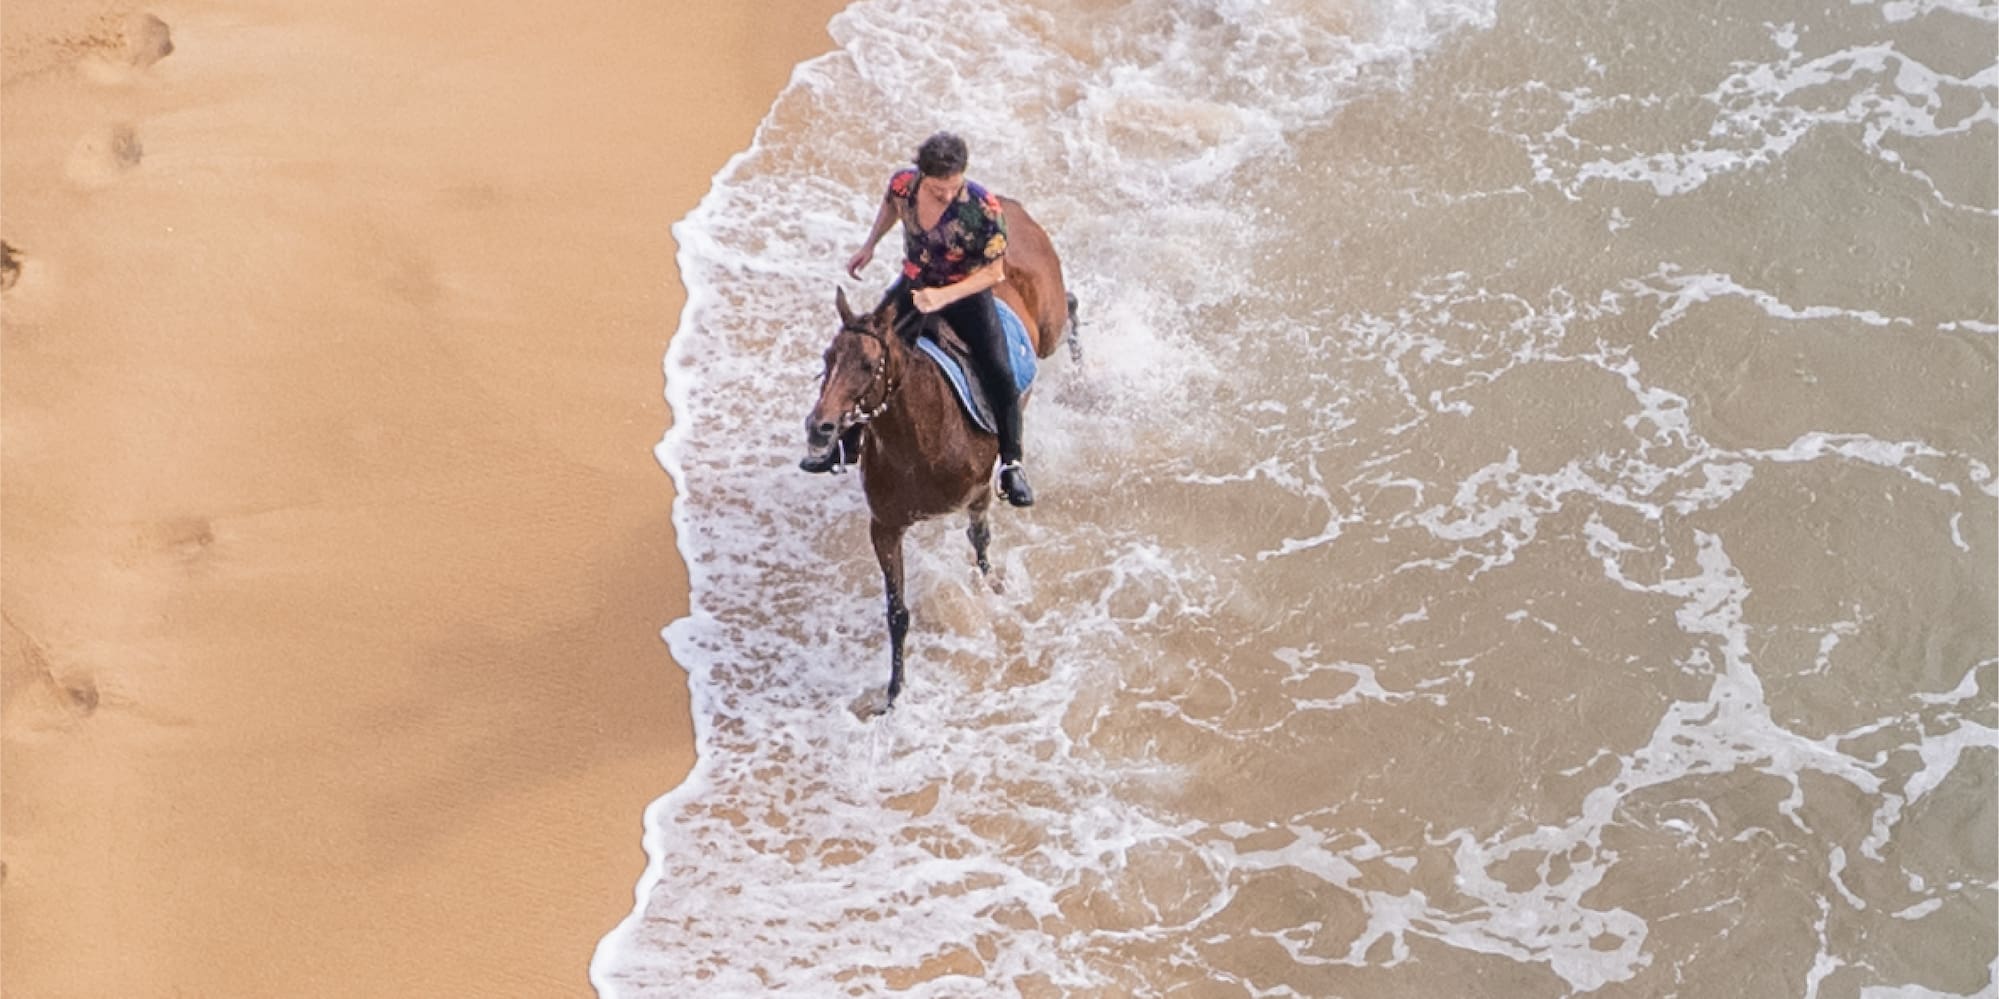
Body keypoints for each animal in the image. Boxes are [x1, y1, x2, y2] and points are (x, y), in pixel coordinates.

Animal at [802, 198, 1073, 712]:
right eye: (827, 358)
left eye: (868, 364)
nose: (819, 427)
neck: (919, 445)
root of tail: (1011, 207)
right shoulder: (885, 526)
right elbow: (897, 613)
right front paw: (893, 693)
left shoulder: (978, 495)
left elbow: (981, 547)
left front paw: (994, 592)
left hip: (1048, 325)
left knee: (1072, 311)